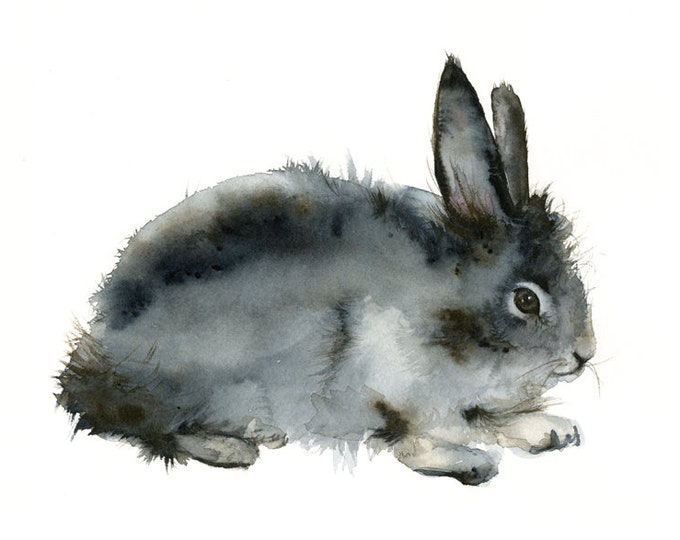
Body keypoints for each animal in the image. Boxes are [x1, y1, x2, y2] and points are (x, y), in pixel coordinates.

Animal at [56, 56, 595, 485]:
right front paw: (468, 461)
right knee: (143, 422)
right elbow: (417, 439)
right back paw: (232, 444)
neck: (444, 301)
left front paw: (550, 429)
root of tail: (100, 357)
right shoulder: (387, 391)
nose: (585, 354)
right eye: (526, 300)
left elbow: (484, 417)